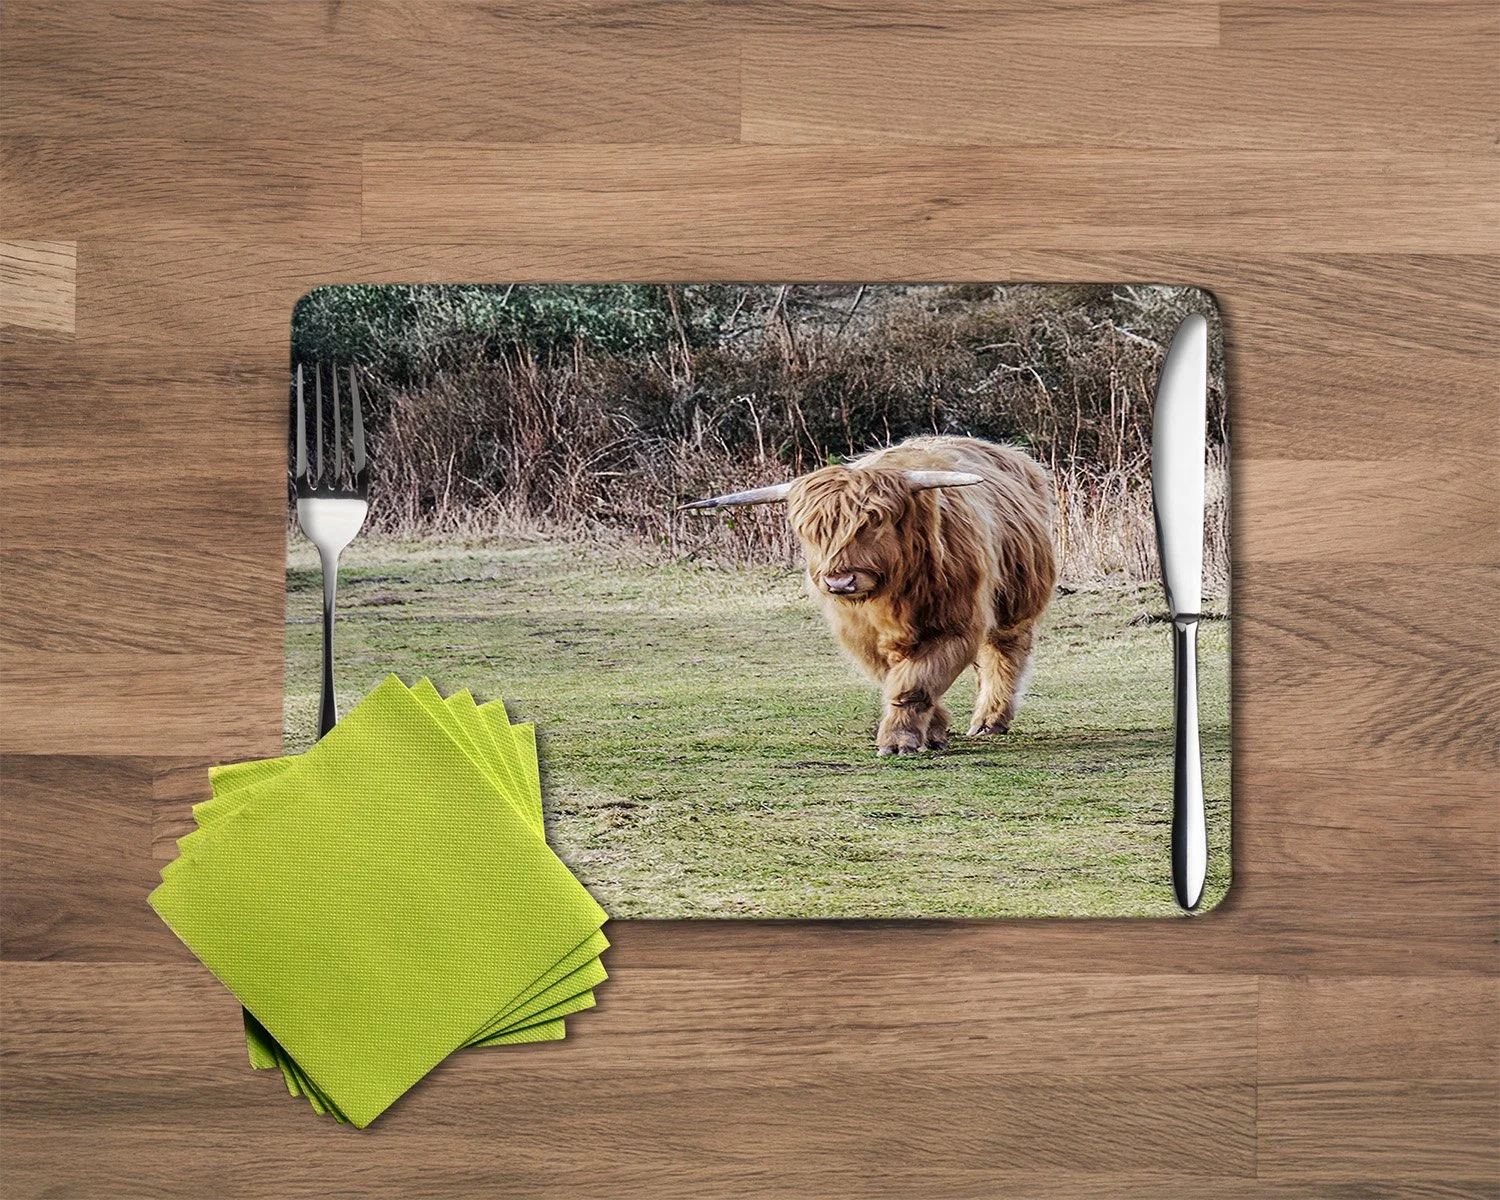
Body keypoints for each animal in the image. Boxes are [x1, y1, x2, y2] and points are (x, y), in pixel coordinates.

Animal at [683, 435, 1058, 756]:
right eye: (810, 530)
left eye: (874, 521)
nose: (839, 581)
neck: (894, 595)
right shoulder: (860, 636)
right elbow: (897, 678)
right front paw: (933, 730)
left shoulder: (955, 624)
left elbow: (916, 681)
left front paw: (899, 740)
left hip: (1016, 602)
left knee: (1003, 653)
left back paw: (989, 720)